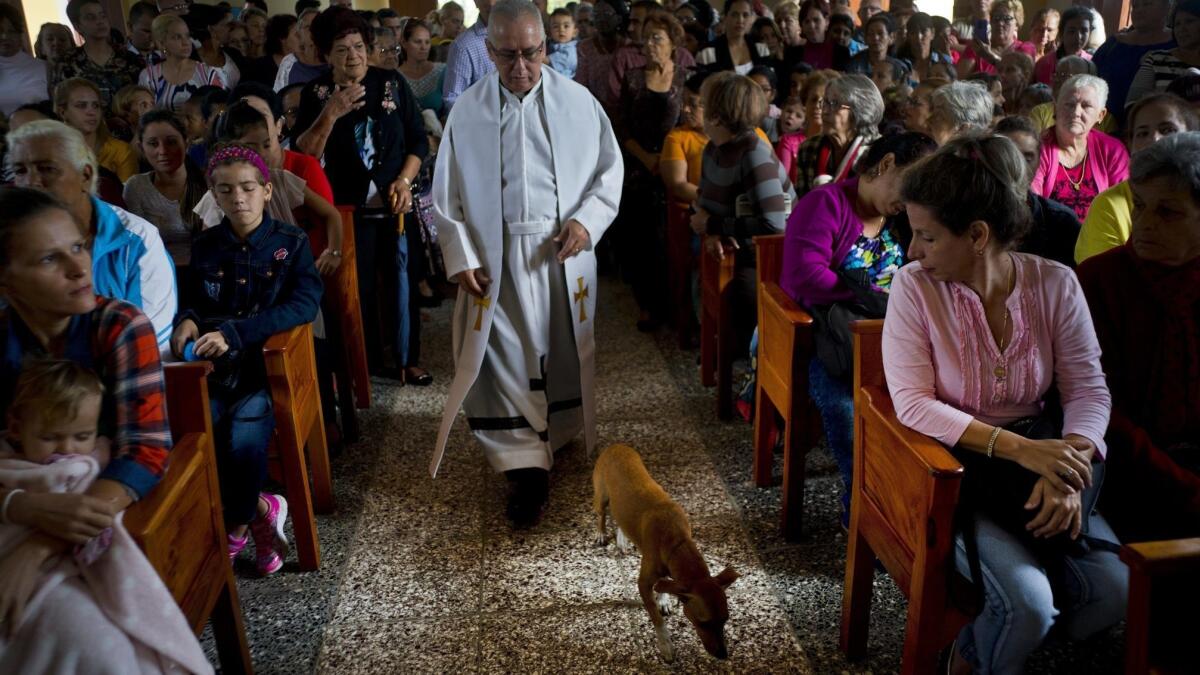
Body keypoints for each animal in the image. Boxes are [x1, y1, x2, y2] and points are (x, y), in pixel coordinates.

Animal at [590, 444, 739, 658]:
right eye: (703, 623)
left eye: (725, 620)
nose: (723, 655)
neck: (678, 542)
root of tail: (615, 445)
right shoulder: (643, 584)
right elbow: (656, 617)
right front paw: (665, 644)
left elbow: (664, 585)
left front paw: (664, 599)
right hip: (601, 495)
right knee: (601, 514)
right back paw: (602, 533)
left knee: (620, 519)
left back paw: (622, 539)